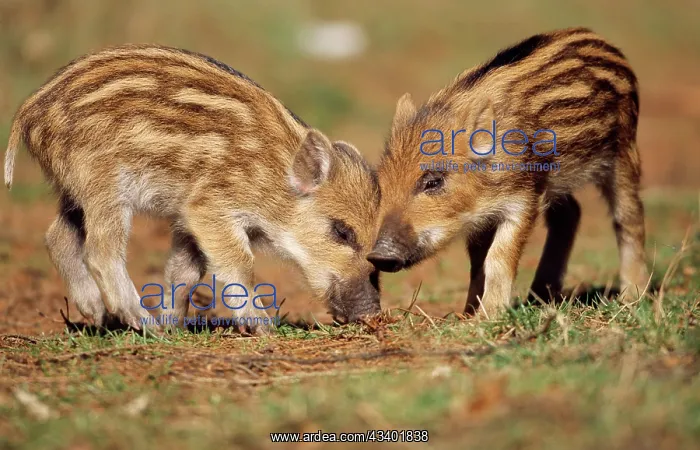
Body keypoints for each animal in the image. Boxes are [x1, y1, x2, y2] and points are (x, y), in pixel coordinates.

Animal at [3, 44, 382, 333]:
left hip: (74, 190)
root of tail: (29, 110)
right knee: (100, 252)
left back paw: (101, 315)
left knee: (57, 237)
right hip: (103, 184)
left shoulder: (188, 219)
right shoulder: (209, 206)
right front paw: (263, 328)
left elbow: (184, 271)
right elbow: (239, 263)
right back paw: (143, 324)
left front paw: (175, 326)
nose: (372, 314)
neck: (273, 178)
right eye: (342, 232)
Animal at [368, 27, 649, 317]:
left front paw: (487, 316)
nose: (379, 256)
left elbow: (498, 257)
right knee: (570, 214)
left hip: (623, 152)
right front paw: (467, 315)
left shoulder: (522, 199)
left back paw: (632, 298)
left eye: (433, 181)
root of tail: (602, 41)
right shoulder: (482, 215)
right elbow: (477, 262)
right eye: (382, 185)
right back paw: (539, 298)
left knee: (629, 217)